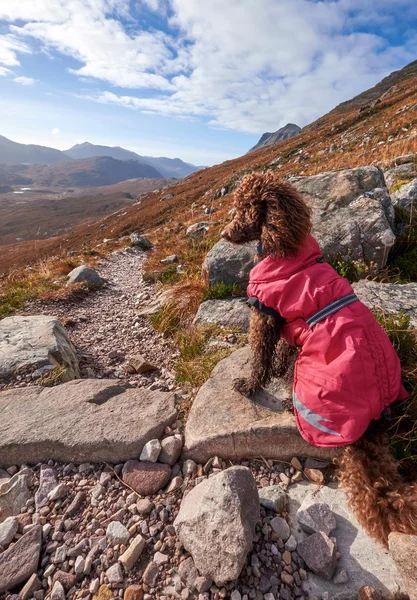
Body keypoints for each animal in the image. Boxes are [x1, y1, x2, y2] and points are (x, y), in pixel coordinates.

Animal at [219, 170, 414, 548]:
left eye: (245, 208)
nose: (224, 233)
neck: (286, 247)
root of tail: (373, 419)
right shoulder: (289, 324)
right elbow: (281, 352)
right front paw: (280, 369)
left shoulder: (264, 314)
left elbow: (260, 356)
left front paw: (250, 385)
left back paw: (288, 403)